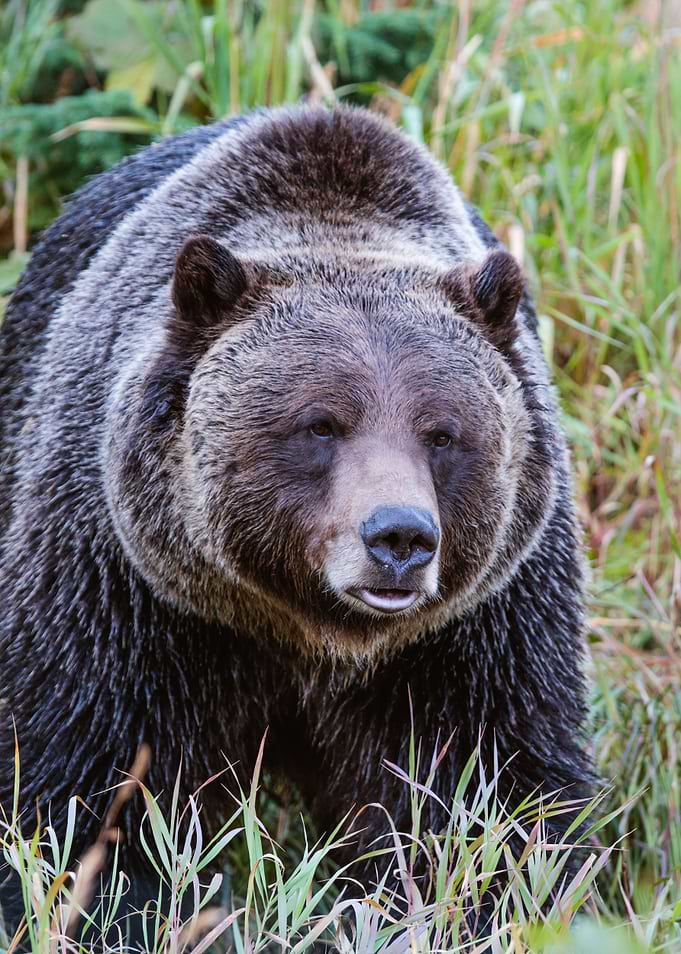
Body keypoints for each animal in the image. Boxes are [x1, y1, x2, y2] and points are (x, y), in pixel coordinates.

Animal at [0, 105, 593, 935]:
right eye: (320, 424)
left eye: (442, 434)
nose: (399, 537)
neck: (304, 632)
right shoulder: (123, 588)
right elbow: (90, 778)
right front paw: (121, 904)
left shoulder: (472, 630)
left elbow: (481, 787)